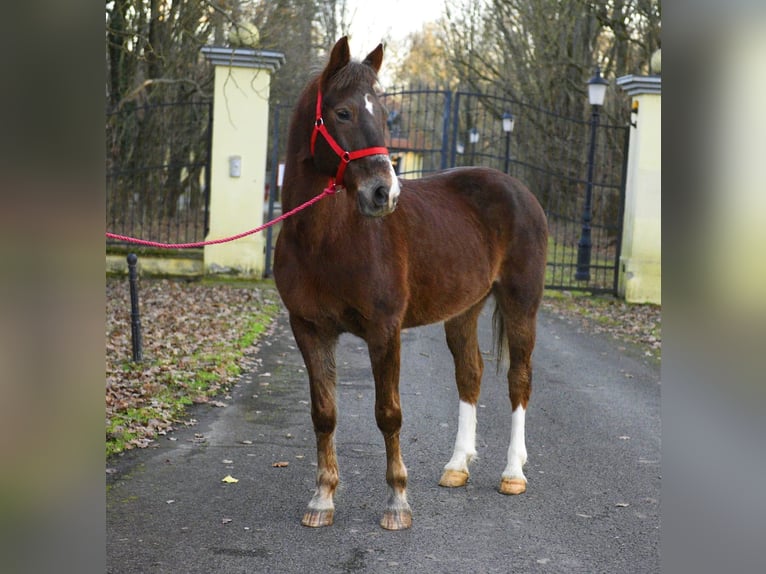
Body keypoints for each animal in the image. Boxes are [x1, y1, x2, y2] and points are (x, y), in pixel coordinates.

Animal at [273, 37, 548, 530]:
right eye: (342, 112)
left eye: (383, 115)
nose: (385, 193)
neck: (325, 240)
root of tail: (519, 189)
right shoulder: (308, 328)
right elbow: (324, 413)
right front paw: (322, 499)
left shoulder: (385, 330)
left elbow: (389, 414)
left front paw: (397, 501)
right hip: (464, 309)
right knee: (470, 374)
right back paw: (456, 467)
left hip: (521, 305)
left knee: (519, 380)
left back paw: (513, 473)